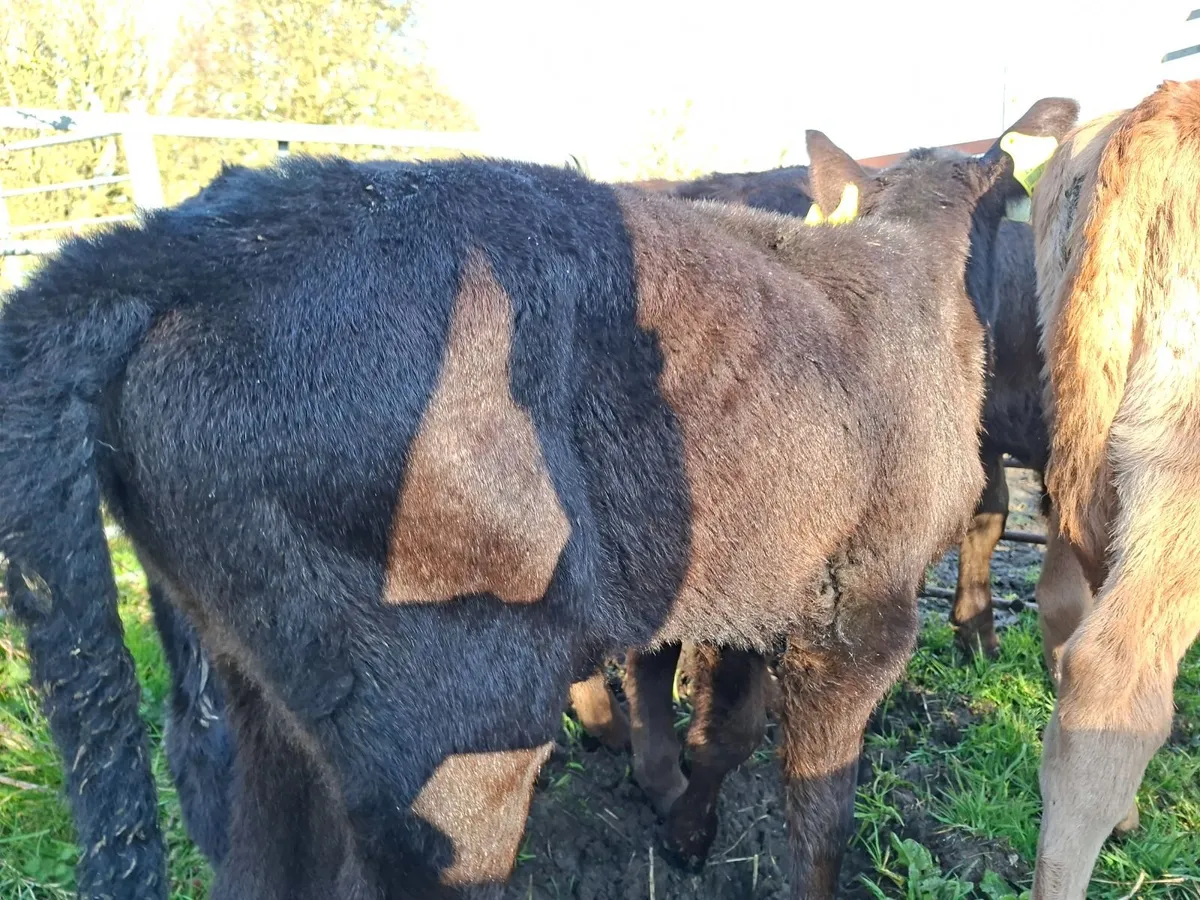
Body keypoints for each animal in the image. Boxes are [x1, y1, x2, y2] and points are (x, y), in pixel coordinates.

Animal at [0, 98, 1066, 898]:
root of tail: (179, 243)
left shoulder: (770, 581)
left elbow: (726, 729)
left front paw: (685, 829)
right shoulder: (865, 606)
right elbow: (818, 810)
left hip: (252, 687)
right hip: (456, 718)